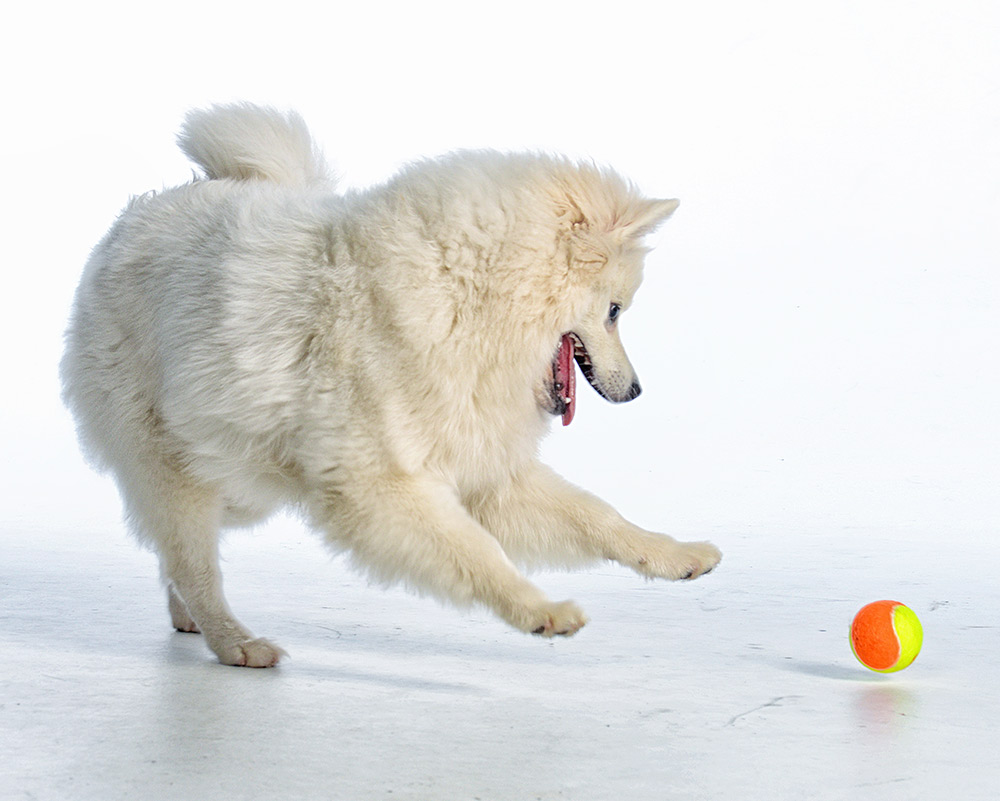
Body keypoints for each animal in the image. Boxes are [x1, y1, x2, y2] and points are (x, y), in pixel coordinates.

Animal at [60, 106, 720, 668]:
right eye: (614, 312)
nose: (636, 391)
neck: (464, 294)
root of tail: (136, 217)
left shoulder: (484, 474)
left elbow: (597, 516)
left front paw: (677, 556)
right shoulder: (380, 486)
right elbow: (476, 553)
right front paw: (542, 611)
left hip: (243, 471)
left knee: (176, 555)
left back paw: (189, 619)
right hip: (179, 465)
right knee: (194, 560)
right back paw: (236, 643)